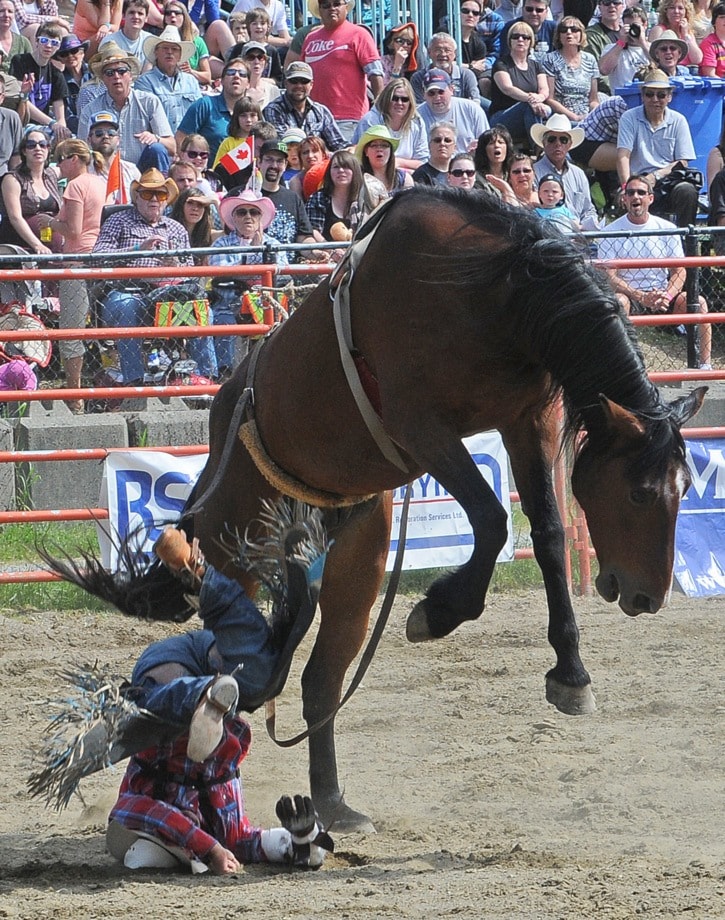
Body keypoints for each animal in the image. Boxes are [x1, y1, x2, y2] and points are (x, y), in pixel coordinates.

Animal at [48, 189, 704, 832]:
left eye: (685, 486)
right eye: (639, 492)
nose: (648, 595)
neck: (494, 290)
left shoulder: (529, 419)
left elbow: (544, 532)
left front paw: (571, 674)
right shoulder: (422, 427)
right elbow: (493, 520)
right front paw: (439, 611)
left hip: (354, 564)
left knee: (315, 679)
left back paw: (332, 803)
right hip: (233, 556)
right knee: (221, 666)